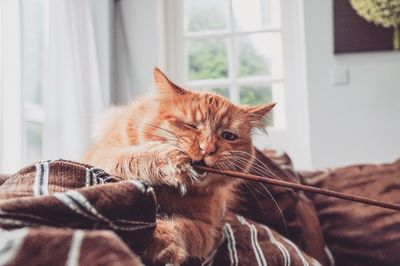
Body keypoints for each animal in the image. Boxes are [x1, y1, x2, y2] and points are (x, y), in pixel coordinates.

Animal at [84, 67, 276, 264]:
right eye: (190, 125)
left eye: (228, 136)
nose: (207, 149)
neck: (171, 192)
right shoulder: (101, 154)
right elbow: (134, 157)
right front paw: (170, 161)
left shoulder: (206, 230)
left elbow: (182, 228)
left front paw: (163, 241)